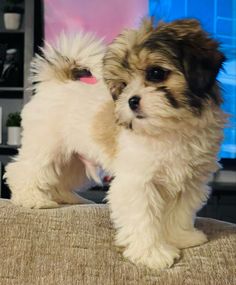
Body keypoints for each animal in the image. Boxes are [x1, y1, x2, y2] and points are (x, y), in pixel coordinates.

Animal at [5, 20, 226, 268]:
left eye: (156, 73)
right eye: (124, 85)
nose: (132, 101)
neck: (170, 129)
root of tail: (57, 83)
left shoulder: (189, 182)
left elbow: (179, 212)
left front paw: (181, 237)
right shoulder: (137, 183)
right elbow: (143, 218)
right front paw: (151, 253)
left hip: (74, 160)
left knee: (59, 177)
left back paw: (65, 197)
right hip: (46, 145)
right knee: (24, 169)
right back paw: (31, 198)